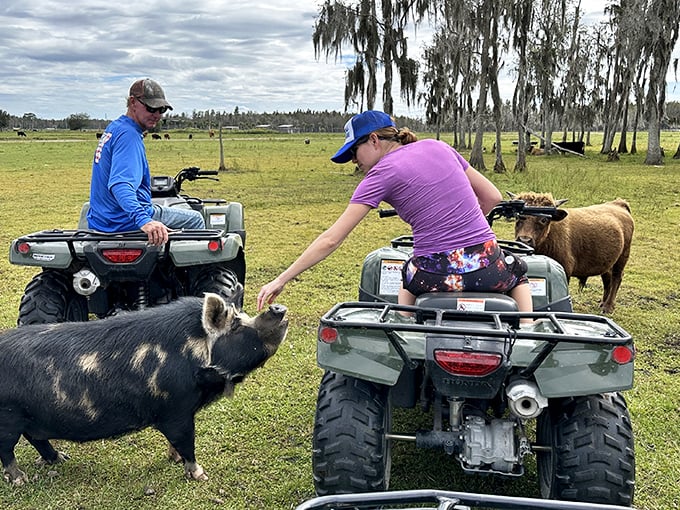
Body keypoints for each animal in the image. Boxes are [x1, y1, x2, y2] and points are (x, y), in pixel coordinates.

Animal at [0, 292, 288, 484]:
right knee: (8, 450)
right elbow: (186, 441)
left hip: (32, 416)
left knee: (36, 438)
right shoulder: (175, 409)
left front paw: (174, 459)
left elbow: (177, 443)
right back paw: (21, 479)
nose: (277, 307)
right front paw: (201, 475)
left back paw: (61, 458)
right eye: (236, 325)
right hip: (9, 417)